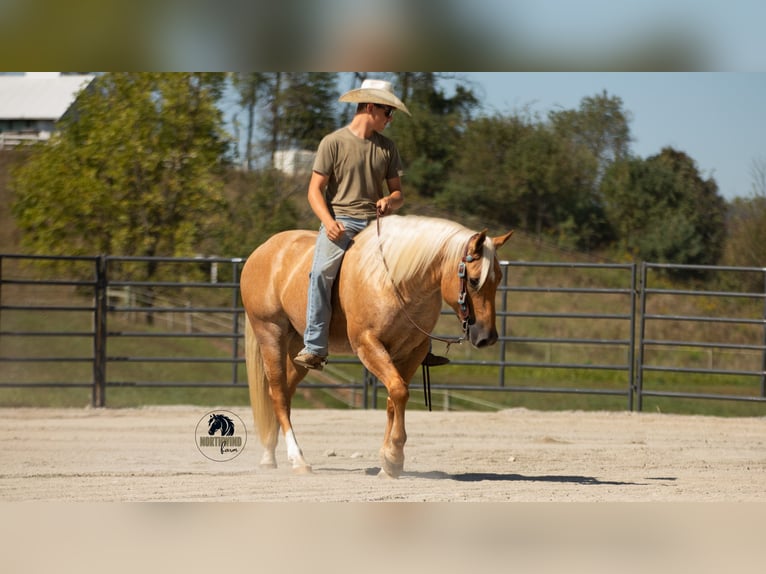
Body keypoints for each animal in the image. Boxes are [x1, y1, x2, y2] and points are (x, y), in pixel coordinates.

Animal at [240, 214, 513, 478]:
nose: (487, 336)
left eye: (499, 278)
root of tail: (263, 250)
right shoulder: (369, 346)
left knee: (285, 393)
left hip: (298, 347)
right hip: (270, 334)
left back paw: (270, 455)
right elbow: (399, 391)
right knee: (277, 394)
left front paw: (387, 463)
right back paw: (298, 460)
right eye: (474, 280)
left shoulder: (410, 353)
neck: (397, 283)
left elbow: (394, 398)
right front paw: (393, 457)